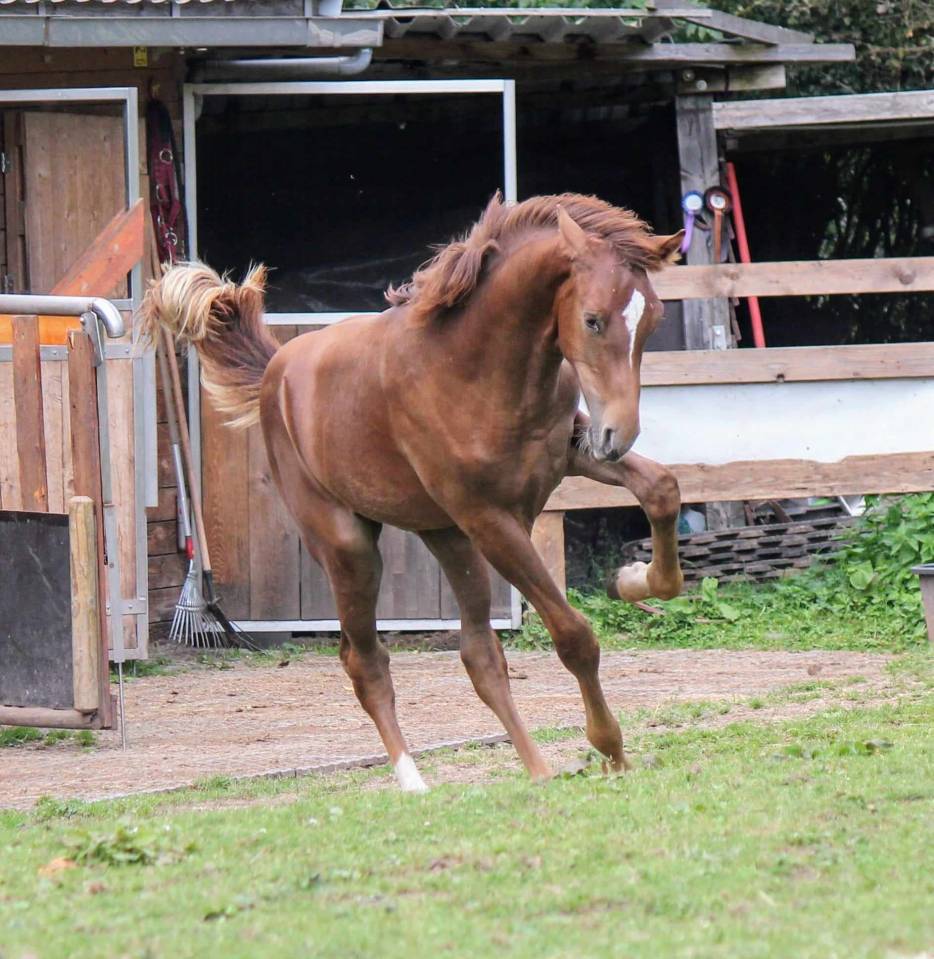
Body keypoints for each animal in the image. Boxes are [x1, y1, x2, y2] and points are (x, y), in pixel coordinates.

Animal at [141, 192, 686, 792]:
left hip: (447, 537)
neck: (478, 368)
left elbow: (662, 489)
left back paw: (538, 771)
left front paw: (632, 580)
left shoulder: (570, 454)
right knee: (366, 660)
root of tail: (274, 374)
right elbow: (574, 635)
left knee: (478, 655)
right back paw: (414, 783)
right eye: (592, 320)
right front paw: (611, 749)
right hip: (354, 548)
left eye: (653, 319)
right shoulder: (491, 519)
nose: (619, 435)